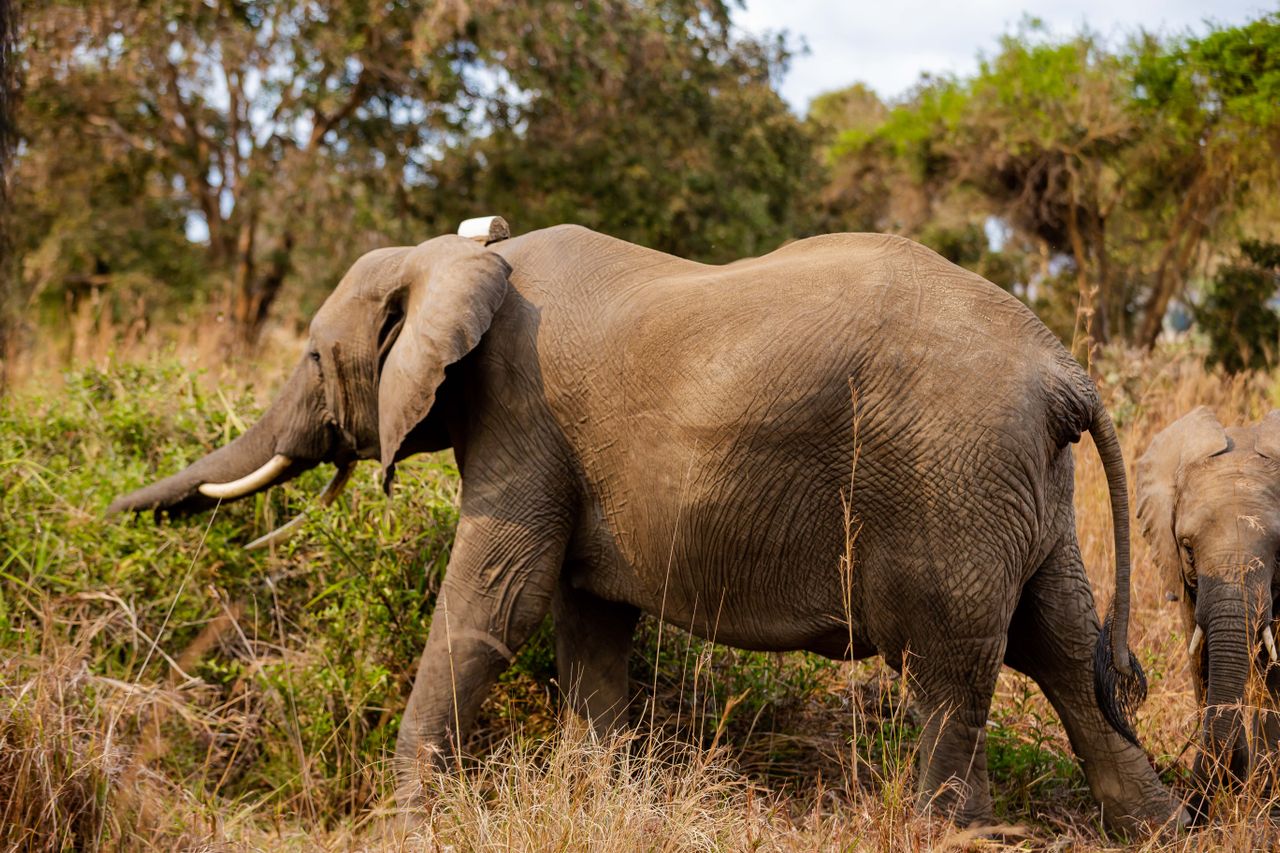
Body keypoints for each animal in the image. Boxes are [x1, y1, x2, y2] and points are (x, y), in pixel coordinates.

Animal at [109, 222, 1184, 832]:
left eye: (309, 355)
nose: (109, 517)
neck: (464, 253)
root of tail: (1065, 374)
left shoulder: (522, 414)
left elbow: (496, 597)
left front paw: (407, 822)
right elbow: (585, 618)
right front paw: (597, 800)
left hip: (947, 478)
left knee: (950, 671)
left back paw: (949, 831)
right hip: (1022, 491)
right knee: (1060, 646)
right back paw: (1160, 826)